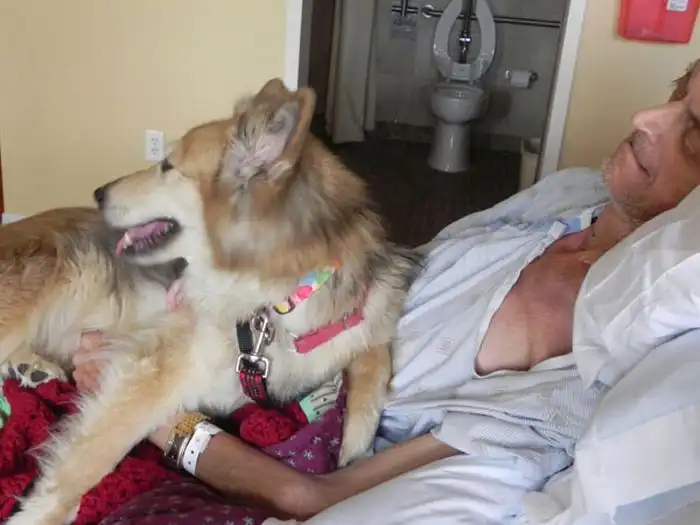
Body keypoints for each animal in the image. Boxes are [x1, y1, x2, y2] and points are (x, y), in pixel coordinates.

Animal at [7, 78, 419, 525]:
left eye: (166, 166)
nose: (98, 192)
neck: (280, 302)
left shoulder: (361, 321)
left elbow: (374, 363)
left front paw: (355, 449)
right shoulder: (150, 367)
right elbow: (90, 458)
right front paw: (38, 516)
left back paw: (32, 368)